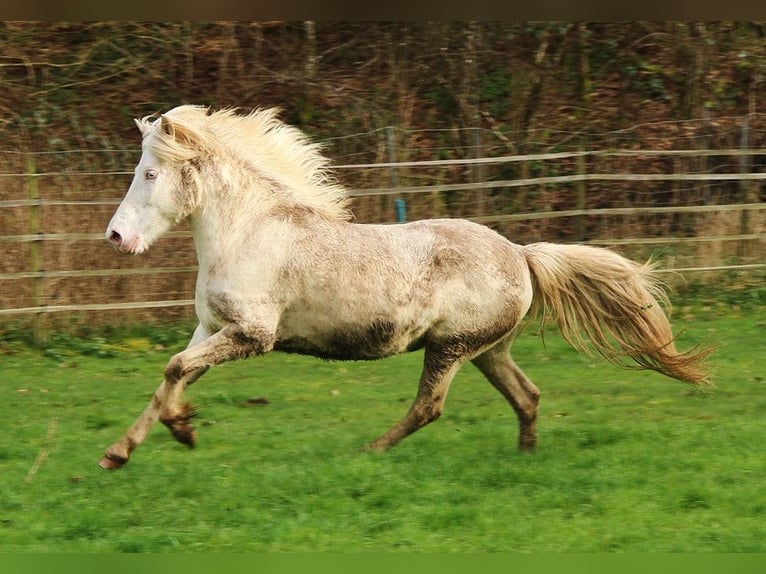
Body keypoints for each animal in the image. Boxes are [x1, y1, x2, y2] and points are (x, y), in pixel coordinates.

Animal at [100, 106, 712, 470]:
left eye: (150, 173)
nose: (116, 236)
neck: (250, 231)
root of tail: (520, 254)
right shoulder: (213, 327)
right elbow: (174, 373)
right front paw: (122, 451)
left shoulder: (253, 334)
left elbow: (174, 369)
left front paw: (180, 432)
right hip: (489, 350)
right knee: (527, 396)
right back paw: (525, 459)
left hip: (449, 348)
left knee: (429, 407)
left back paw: (366, 451)